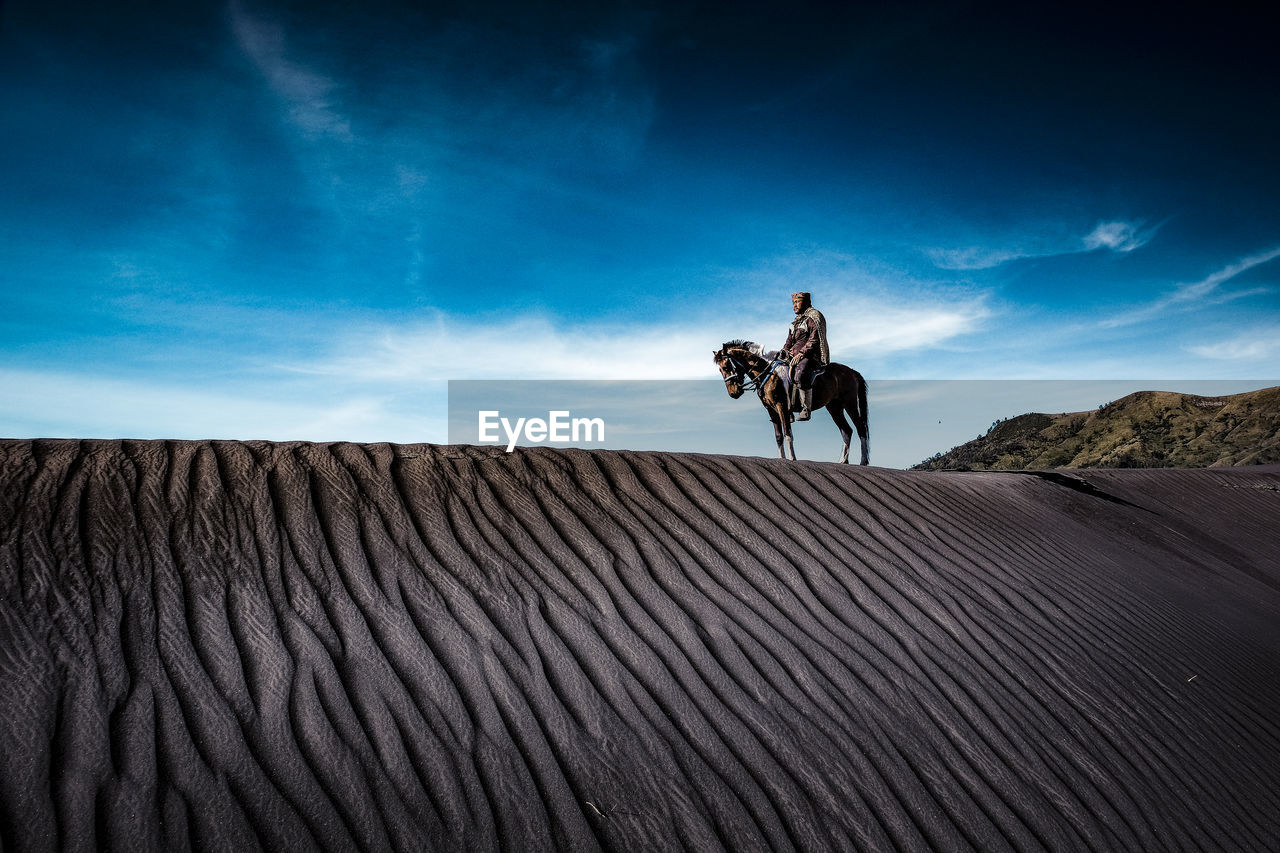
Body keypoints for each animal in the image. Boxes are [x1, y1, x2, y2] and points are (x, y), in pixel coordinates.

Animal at [711, 338, 870, 461]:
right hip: (834, 407)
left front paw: (793, 459)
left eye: (726, 366)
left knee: (860, 428)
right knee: (847, 431)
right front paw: (782, 459)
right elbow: (779, 436)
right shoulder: (771, 410)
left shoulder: (781, 406)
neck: (767, 372)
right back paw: (843, 461)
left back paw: (863, 462)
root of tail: (852, 372)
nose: (733, 393)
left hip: (849, 403)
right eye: (720, 369)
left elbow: (788, 434)